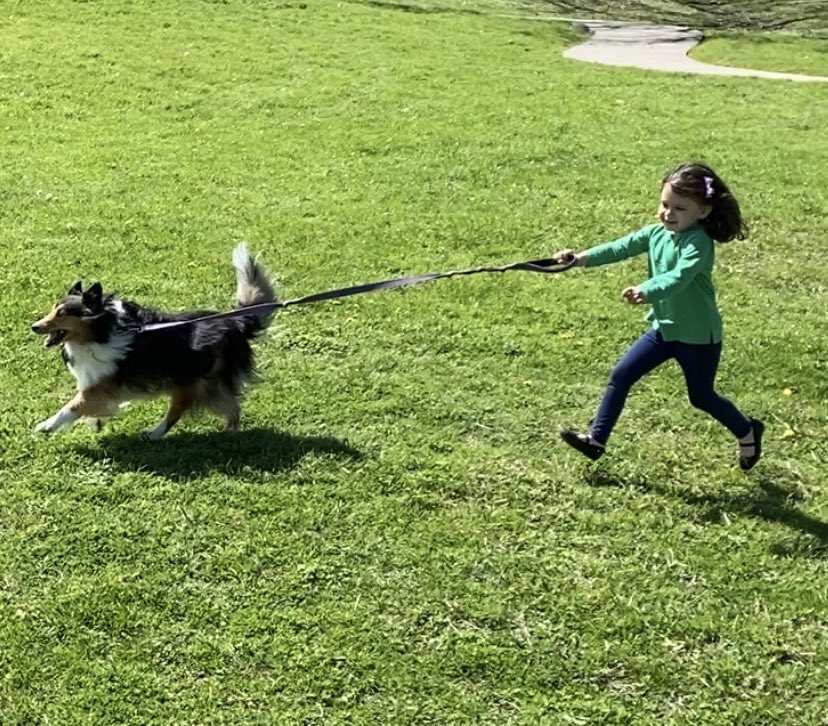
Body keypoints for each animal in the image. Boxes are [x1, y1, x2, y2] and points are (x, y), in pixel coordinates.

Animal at [30, 245, 276, 440]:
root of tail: (236, 321)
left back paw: (155, 434)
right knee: (232, 407)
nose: (34, 326)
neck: (102, 330)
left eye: (62, 314)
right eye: (53, 310)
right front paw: (95, 421)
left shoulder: (101, 385)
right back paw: (228, 433)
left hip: (192, 381)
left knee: (179, 410)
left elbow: (72, 407)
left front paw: (46, 425)